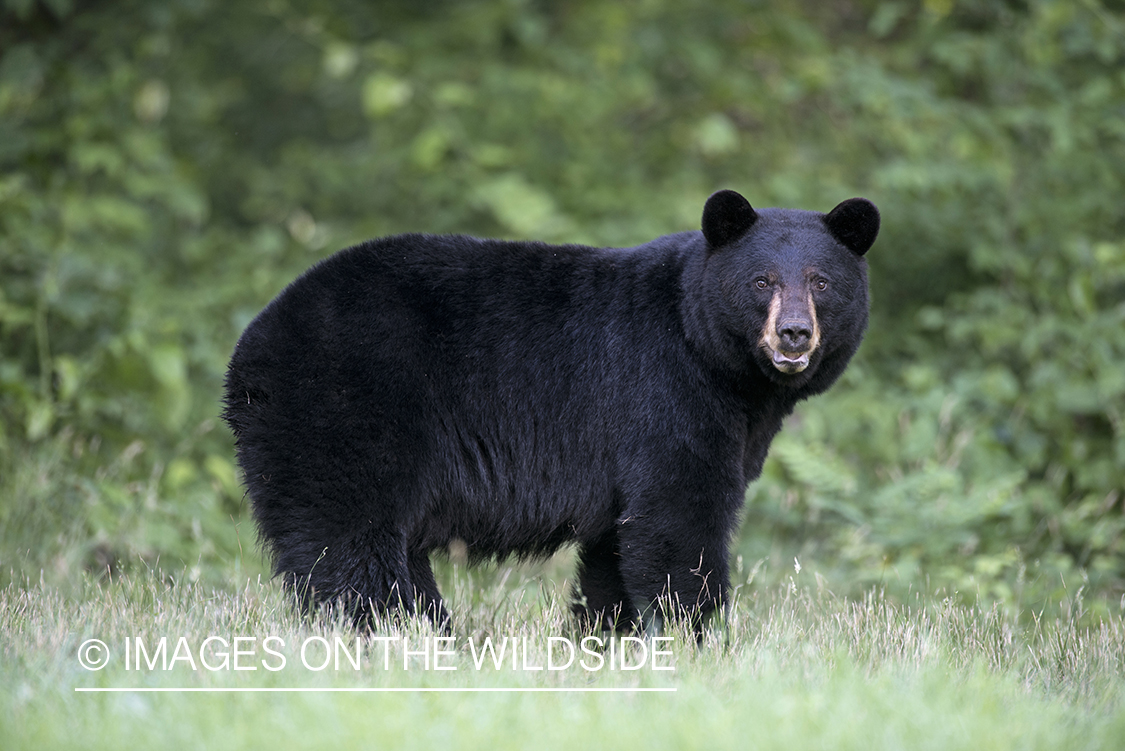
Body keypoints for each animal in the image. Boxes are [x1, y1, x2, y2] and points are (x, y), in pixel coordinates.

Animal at [221, 191, 877, 629]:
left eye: (820, 282)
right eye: (762, 281)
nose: (794, 334)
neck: (719, 364)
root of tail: (250, 349)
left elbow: (618, 550)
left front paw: (607, 642)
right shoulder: (663, 397)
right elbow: (678, 521)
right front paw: (698, 638)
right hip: (345, 409)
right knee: (349, 544)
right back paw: (395, 636)